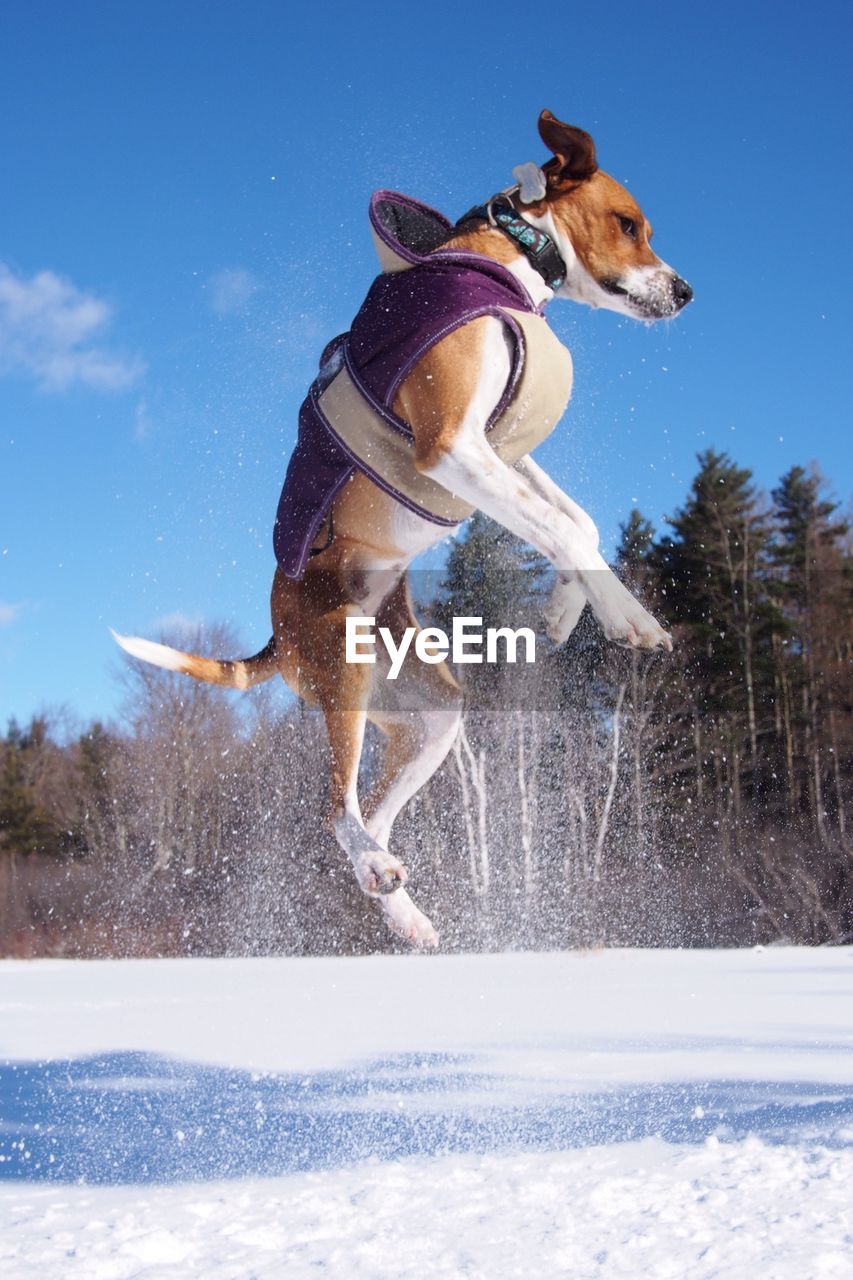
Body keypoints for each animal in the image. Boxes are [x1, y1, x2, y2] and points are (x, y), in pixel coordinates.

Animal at [111, 112, 691, 952]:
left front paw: (564, 609)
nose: (685, 290)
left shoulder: (498, 449)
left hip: (430, 715)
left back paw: (399, 907)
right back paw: (376, 870)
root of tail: (277, 639)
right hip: (345, 676)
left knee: (375, 815)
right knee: (333, 808)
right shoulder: (451, 447)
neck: (510, 252)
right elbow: (566, 527)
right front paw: (627, 616)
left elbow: (570, 518)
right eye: (628, 224)